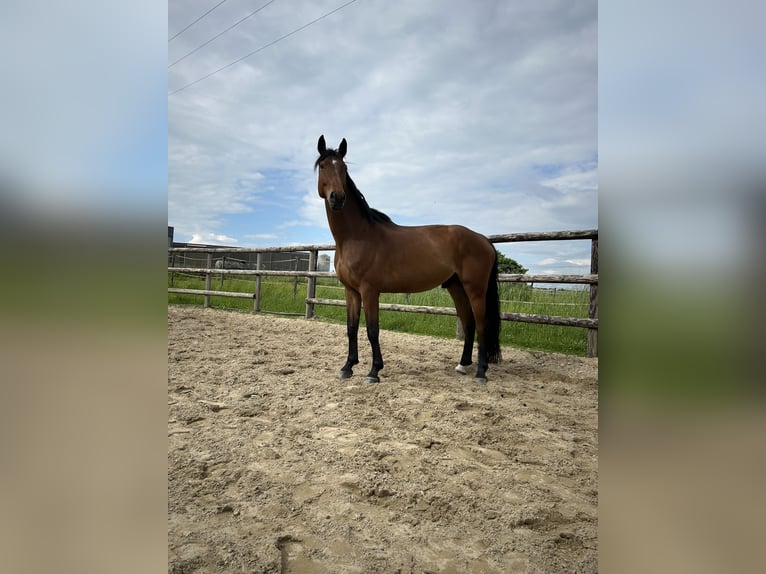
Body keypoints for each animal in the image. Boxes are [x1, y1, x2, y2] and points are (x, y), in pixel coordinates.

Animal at [316, 136, 504, 384]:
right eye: (323, 166)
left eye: (344, 169)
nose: (338, 198)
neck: (356, 236)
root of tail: (483, 239)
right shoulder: (351, 291)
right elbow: (351, 328)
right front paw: (347, 367)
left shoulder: (369, 290)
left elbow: (372, 330)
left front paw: (374, 372)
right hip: (456, 286)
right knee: (469, 322)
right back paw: (462, 365)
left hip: (475, 288)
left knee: (482, 325)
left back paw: (481, 372)